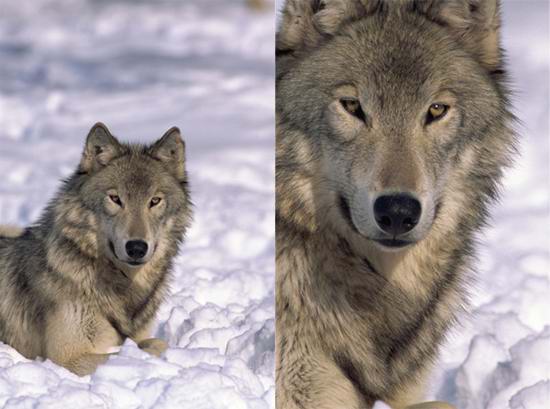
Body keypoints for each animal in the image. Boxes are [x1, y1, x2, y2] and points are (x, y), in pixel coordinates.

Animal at [0, 122, 194, 374]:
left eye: (154, 201)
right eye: (115, 199)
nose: (137, 248)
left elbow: (151, 342)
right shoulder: (67, 358)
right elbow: (154, 346)